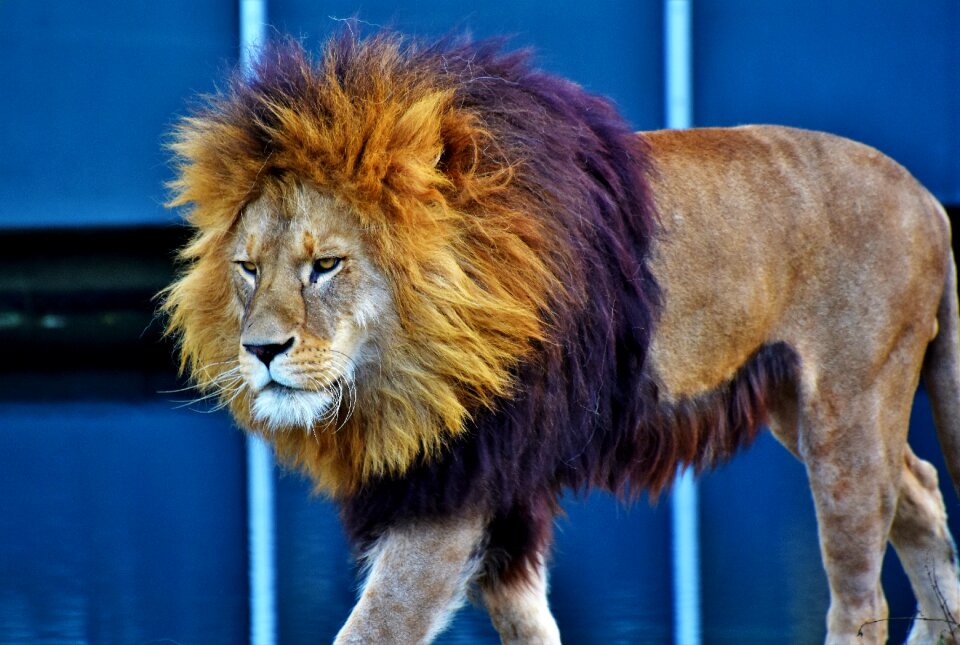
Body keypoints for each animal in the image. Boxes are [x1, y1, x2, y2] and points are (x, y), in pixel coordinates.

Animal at [163, 31, 960, 644]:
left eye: (325, 265)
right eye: (247, 269)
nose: (261, 351)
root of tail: (928, 198)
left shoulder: (453, 485)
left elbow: (377, 625)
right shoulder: (499, 484)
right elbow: (527, 624)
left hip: (846, 411)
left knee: (862, 595)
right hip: (804, 407)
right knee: (920, 488)